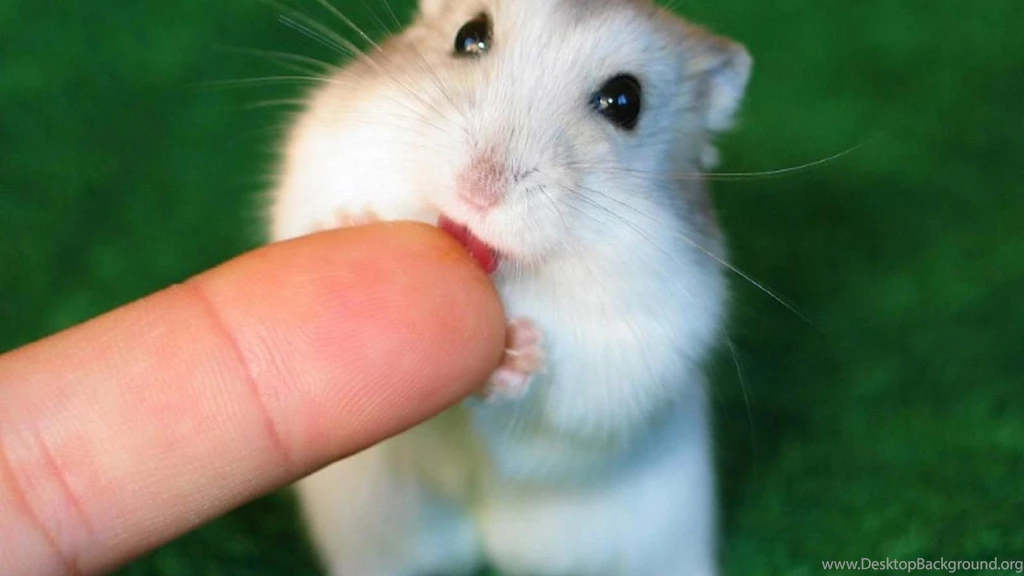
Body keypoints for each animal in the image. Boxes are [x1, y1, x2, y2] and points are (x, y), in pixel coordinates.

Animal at [268, 0, 751, 574]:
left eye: (625, 101)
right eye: (470, 35)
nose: (478, 190)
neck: (508, 275)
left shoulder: (640, 351)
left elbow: (552, 408)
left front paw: (518, 352)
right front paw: (349, 224)